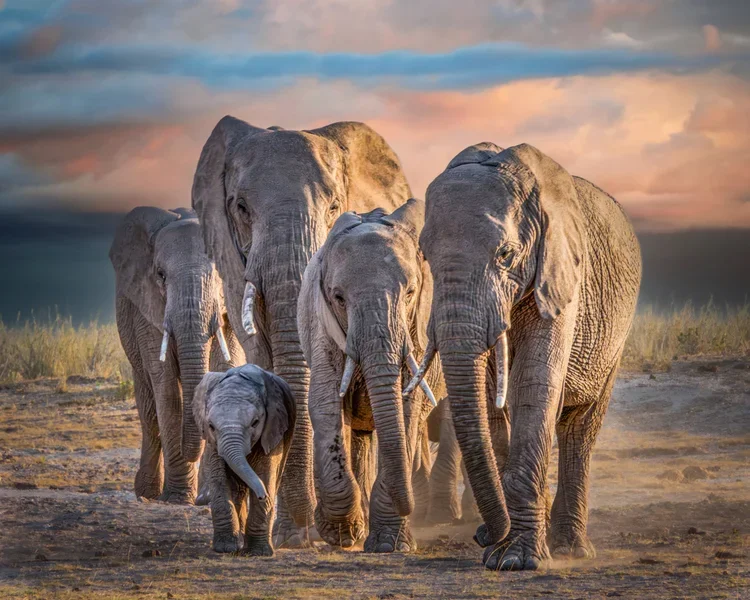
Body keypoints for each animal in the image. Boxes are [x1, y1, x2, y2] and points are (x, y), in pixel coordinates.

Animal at [110, 207, 241, 503]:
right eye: (160, 275)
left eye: (220, 272)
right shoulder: (147, 309)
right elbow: (167, 388)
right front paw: (178, 498)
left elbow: (224, 370)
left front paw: (208, 497)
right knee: (149, 412)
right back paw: (146, 493)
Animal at [192, 364, 295, 555]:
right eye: (211, 426)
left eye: (255, 422)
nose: (262, 495)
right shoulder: (212, 441)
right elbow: (219, 476)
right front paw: (225, 548)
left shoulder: (272, 429)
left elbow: (265, 473)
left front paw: (257, 553)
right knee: (237, 490)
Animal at [297, 199, 444, 552]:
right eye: (338, 297)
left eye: (411, 293)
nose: (409, 507)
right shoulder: (320, 321)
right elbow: (325, 401)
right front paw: (341, 534)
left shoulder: (417, 325)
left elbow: (407, 408)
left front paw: (390, 544)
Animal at [407, 143, 641, 570]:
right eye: (425, 255)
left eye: (505, 254)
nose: (482, 535)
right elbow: (489, 398)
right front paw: (502, 550)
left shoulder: (561, 275)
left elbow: (534, 383)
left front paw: (516, 559)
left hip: (616, 337)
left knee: (580, 427)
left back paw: (571, 548)